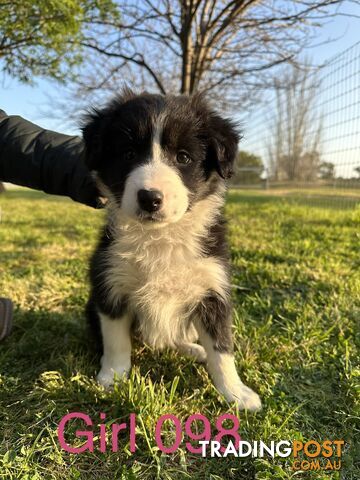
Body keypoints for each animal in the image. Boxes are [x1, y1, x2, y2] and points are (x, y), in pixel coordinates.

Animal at [82, 88, 262, 410]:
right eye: (128, 154)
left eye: (183, 157)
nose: (149, 198)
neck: (160, 237)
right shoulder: (111, 283)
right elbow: (116, 339)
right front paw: (112, 376)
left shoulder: (212, 289)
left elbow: (222, 348)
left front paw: (236, 392)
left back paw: (194, 350)